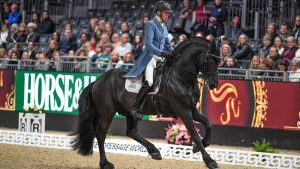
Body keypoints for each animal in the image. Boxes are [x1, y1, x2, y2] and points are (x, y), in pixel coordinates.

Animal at [71, 37, 219, 169]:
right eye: (209, 60)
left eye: (219, 61)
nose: (213, 85)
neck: (181, 77)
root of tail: (98, 80)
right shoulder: (183, 111)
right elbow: (194, 134)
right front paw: (209, 161)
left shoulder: (192, 110)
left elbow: (208, 124)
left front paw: (198, 147)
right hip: (107, 112)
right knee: (101, 135)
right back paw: (105, 163)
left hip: (129, 111)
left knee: (132, 132)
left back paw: (154, 151)